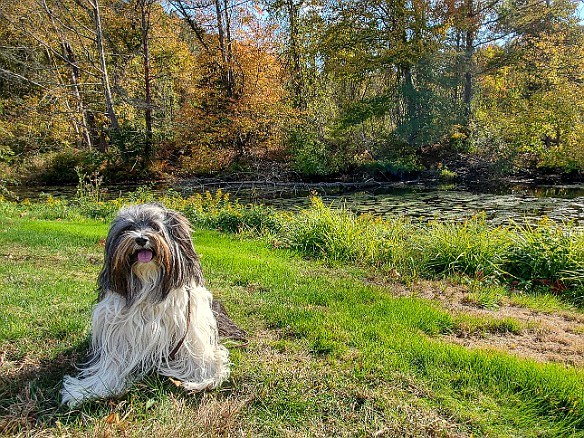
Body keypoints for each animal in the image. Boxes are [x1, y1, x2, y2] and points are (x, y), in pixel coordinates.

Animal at [61, 203, 230, 408]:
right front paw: (86, 391)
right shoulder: (120, 333)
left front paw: (203, 379)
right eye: (128, 228)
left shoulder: (189, 328)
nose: (141, 239)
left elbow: (198, 356)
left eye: (155, 227)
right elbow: (112, 366)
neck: (148, 285)